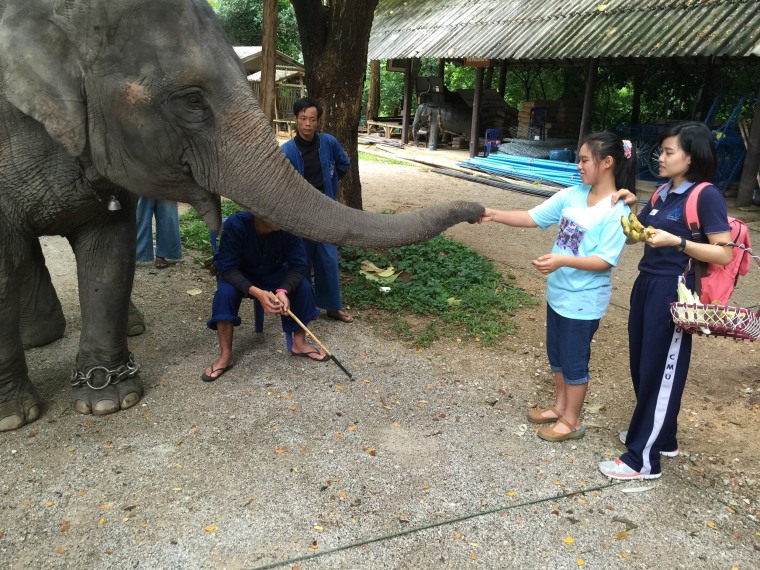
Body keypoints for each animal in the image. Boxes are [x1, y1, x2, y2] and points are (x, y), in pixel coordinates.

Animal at [0, 0, 486, 428]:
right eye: (192, 100)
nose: (480, 210)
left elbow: (108, 253)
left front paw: (107, 400)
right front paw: (17, 418)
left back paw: (81, 332)